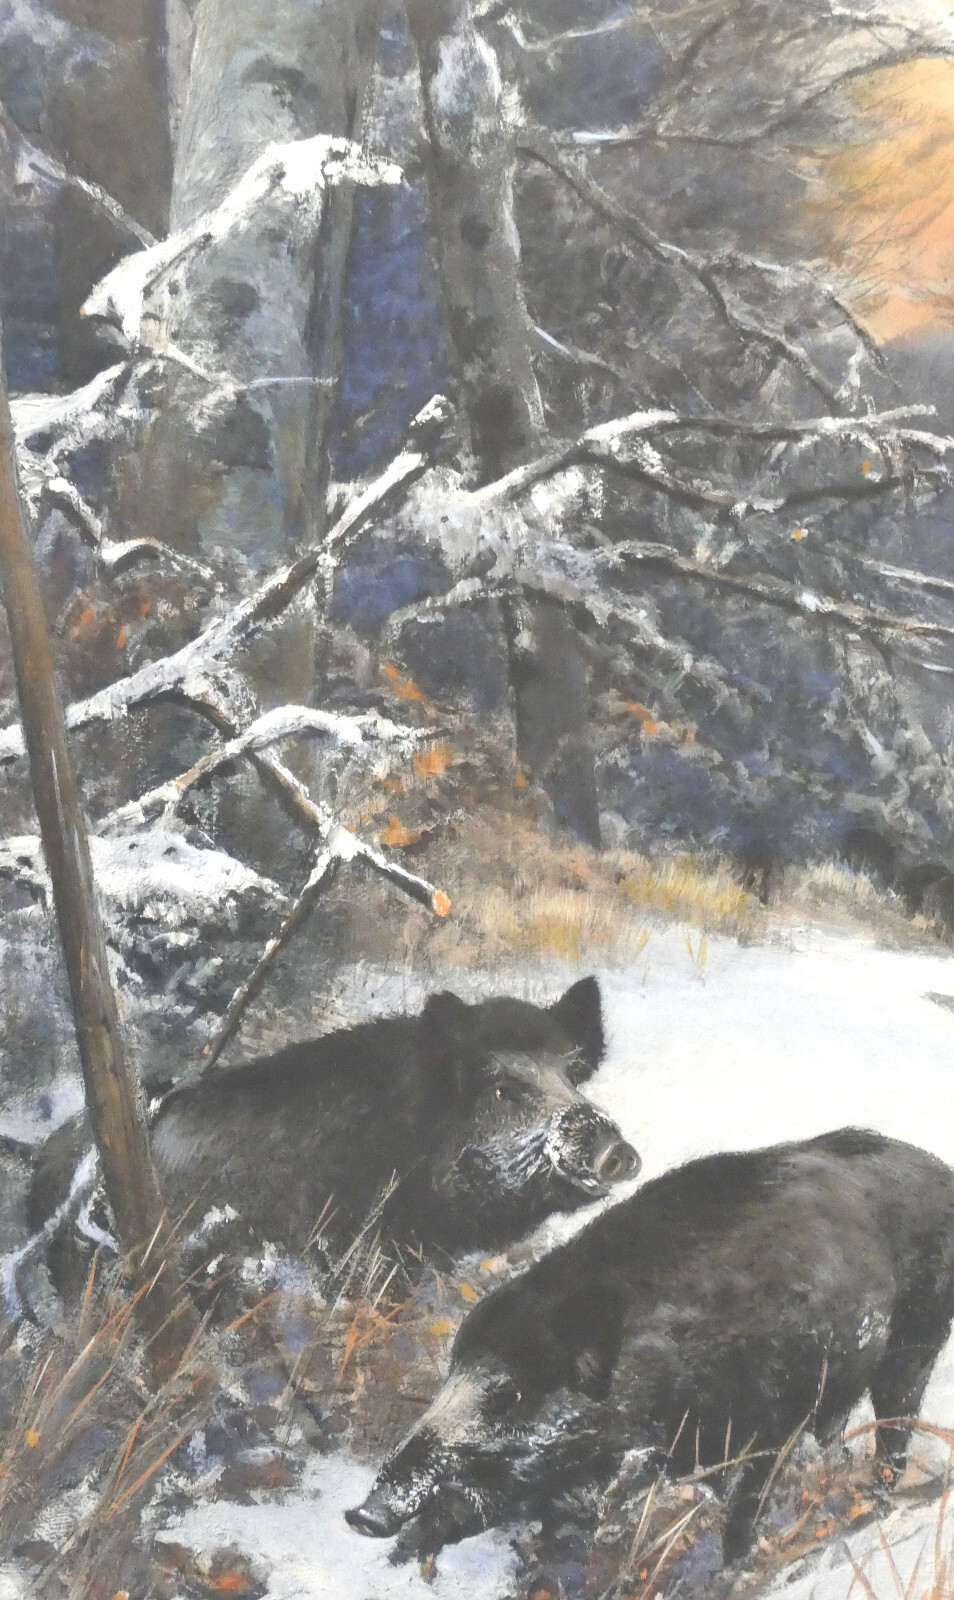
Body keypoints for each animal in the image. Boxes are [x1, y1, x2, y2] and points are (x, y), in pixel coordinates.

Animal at [347, 1129, 954, 1563]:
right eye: (450, 1373)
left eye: (510, 1395)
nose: (361, 1516)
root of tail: (939, 1170)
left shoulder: (778, 1413)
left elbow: (749, 1494)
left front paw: (734, 1563)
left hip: (916, 1343)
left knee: (895, 1424)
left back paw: (877, 1496)